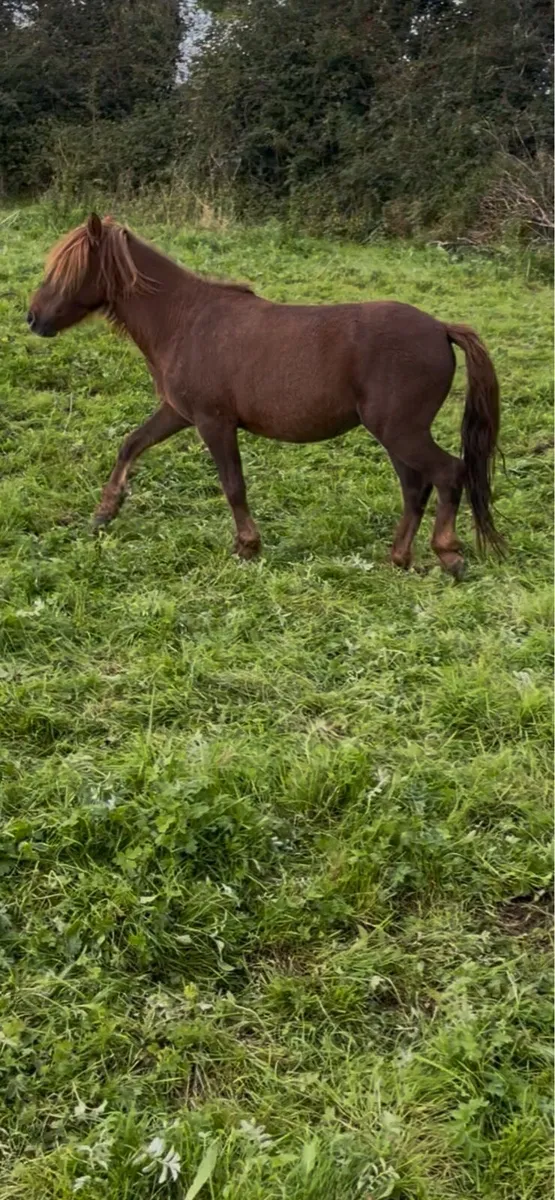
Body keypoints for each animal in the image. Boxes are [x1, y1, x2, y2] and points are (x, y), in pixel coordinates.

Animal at [27, 213, 503, 576]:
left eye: (67, 270)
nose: (33, 318)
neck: (184, 319)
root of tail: (440, 328)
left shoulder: (213, 422)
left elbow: (233, 485)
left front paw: (247, 546)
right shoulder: (178, 413)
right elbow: (131, 444)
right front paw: (105, 511)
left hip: (401, 431)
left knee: (448, 473)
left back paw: (448, 554)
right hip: (396, 435)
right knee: (414, 489)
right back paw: (398, 558)